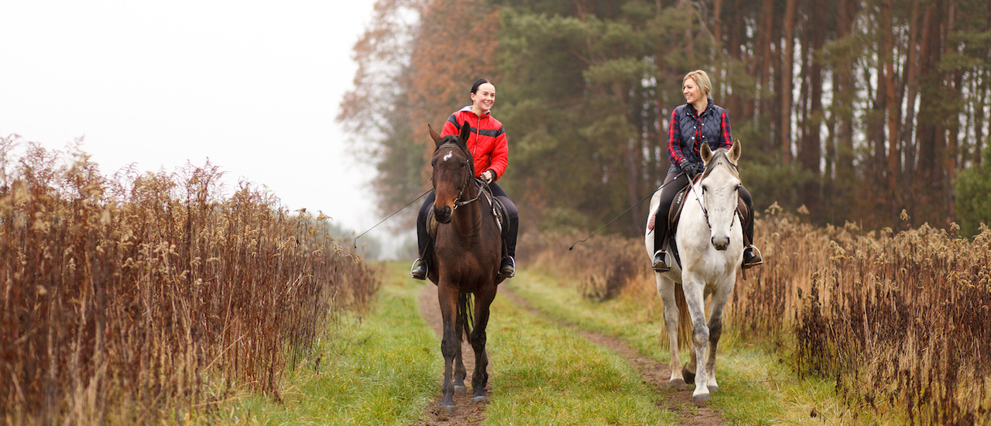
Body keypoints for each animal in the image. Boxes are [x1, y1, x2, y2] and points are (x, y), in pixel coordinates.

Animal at [426, 122, 508, 410]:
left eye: (462, 164)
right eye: (434, 163)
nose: (442, 211)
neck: (467, 230)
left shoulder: (486, 287)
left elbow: (479, 336)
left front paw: (479, 388)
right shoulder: (447, 286)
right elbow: (451, 340)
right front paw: (448, 395)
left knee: (477, 330)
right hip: (460, 289)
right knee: (461, 326)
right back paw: (460, 378)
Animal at [644, 141, 744, 406]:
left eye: (736, 186)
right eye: (705, 187)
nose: (721, 240)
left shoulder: (725, 283)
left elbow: (714, 330)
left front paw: (709, 380)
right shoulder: (692, 281)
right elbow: (699, 332)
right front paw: (700, 389)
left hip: (707, 287)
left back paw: (689, 369)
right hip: (664, 279)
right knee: (673, 319)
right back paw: (678, 375)